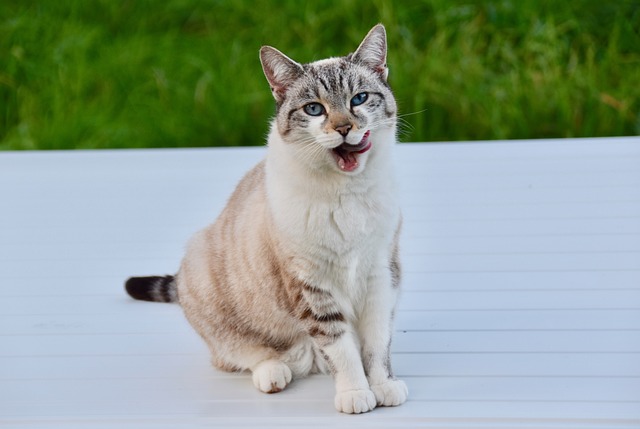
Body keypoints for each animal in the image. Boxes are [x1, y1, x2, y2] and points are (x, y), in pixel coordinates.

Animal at [124, 23, 404, 412]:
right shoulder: (312, 284)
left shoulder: (380, 272)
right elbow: (341, 347)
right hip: (199, 263)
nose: (344, 127)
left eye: (359, 99)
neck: (347, 193)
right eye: (314, 109)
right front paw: (354, 393)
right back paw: (273, 372)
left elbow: (377, 344)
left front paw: (383, 386)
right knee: (238, 354)